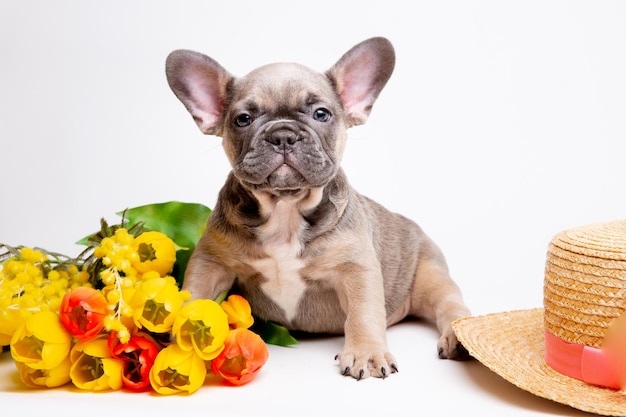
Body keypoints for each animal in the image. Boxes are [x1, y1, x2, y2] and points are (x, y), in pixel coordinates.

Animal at [165, 37, 468, 378]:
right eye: (243, 119)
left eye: (321, 114)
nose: (283, 134)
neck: (285, 209)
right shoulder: (211, 261)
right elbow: (194, 296)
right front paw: (183, 341)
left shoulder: (355, 268)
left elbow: (363, 313)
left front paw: (366, 353)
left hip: (429, 274)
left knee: (450, 304)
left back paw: (456, 338)